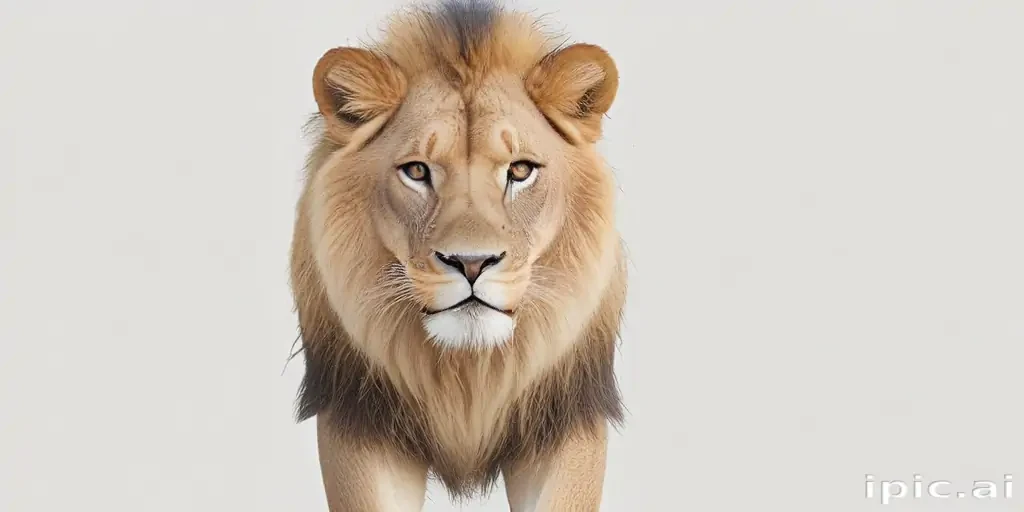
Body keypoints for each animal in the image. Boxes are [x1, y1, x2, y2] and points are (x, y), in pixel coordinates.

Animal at [288, 0, 628, 509]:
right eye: (416, 171)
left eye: (520, 171)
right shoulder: (357, 416)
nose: (471, 263)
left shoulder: (567, 417)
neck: (467, 373)